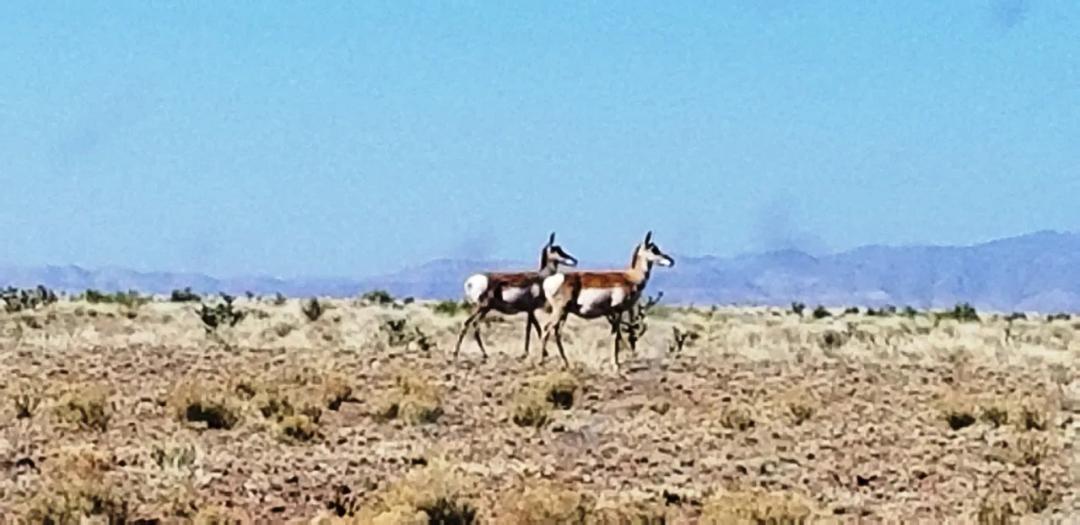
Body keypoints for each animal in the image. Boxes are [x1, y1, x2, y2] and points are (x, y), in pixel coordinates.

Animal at [539, 231, 674, 369]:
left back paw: (566, 363)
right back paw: (541, 361)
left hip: (564, 313)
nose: (671, 261)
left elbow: (614, 335)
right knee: (546, 329)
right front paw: (616, 364)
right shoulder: (617, 311)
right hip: (559, 311)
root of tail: (552, 279)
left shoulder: (612, 314)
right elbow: (616, 336)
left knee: (557, 333)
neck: (629, 277)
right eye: (653, 249)